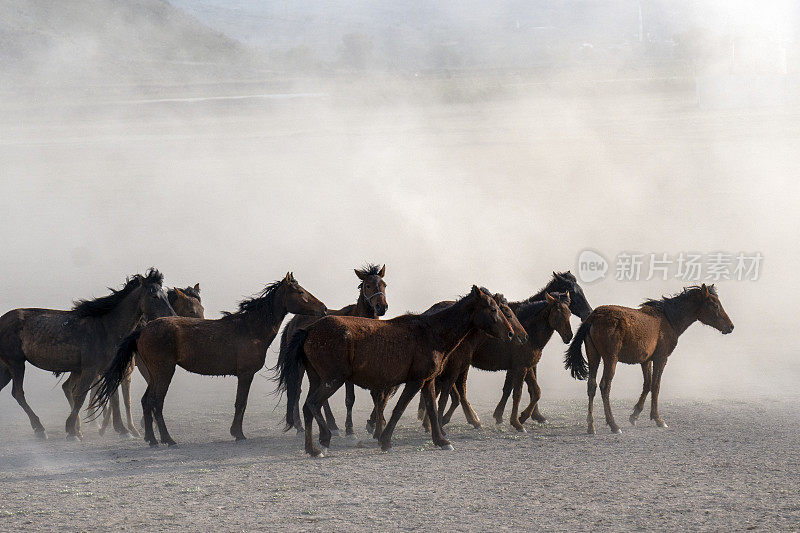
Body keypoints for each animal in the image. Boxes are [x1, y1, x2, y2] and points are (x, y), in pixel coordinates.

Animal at [0, 268, 173, 438]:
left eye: (166, 295)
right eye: (154, 295)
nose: (171, 317)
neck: (106, 328)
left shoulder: (108, 370)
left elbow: (114, 398)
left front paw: (123, 430)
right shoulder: (90, 369)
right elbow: (80, 396)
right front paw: (72, 430)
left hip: (6, 368)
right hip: (16, 364)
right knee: (18, 393)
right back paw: (40, 428)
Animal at [93, 272, 328, 446]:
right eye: (300, 291)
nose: (324, 308)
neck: (250, 328)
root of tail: (143, 329)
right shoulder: (245, 374)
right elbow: (241, 403)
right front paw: (238, 433)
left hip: (154, 374)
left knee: (146, 401)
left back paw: (151, 440)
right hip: (164, 372)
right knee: (156, 402)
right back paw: (168, 439)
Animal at [276, 284, 512, 456]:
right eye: (493, 309)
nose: (510, 333)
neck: (431, 332)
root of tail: (309, 330)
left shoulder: (427, 381)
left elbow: (432, 410)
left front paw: (441, 440)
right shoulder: (415, 381)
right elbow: (399, 409)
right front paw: (386, 440)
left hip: (317, 379)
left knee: (308, 407)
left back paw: (312, 448)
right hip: (332, 380)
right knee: (312, 404)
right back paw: (323, 440)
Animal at [278, 262, 388, 436]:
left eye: (384, 284)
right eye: (368, 285)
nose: (381, 307)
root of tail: (293, 322)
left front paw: (377, 422)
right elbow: (350, 399)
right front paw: (350, 429)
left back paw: (332, 425)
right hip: (301, 366)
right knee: (296, 391)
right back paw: (300, 427)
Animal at [564, 282, 736, 432]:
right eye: (714, 305)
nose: (730, 326)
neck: (667, 319)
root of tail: (594, 317)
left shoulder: (646, 360)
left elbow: (647, 384)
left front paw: (634, 415)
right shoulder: (661, 358)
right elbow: (656, 385)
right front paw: (658, 419)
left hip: (594, 357)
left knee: (591, 386)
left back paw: (591, 426)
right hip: (610, 359)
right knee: (605, 386)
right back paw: (613, 425)